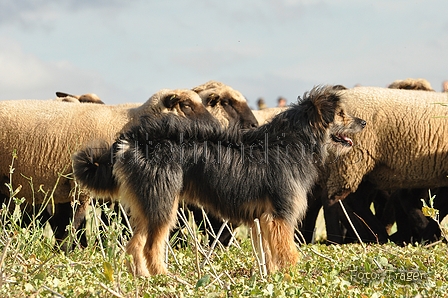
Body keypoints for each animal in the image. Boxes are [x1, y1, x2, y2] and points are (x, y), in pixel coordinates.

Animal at [73, 85, 366, 276]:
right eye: (341, 114)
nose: (363, 122)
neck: (293, 141)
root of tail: (131, 140)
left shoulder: (264, 219)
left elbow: (270, 255)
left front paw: (271, 279)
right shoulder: (280, 216)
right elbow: (288, 253)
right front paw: (292, 279)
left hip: (149, 203)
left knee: (135, 245)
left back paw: (144, 278)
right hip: (163, 202)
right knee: (149, 246)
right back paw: (163, 277)